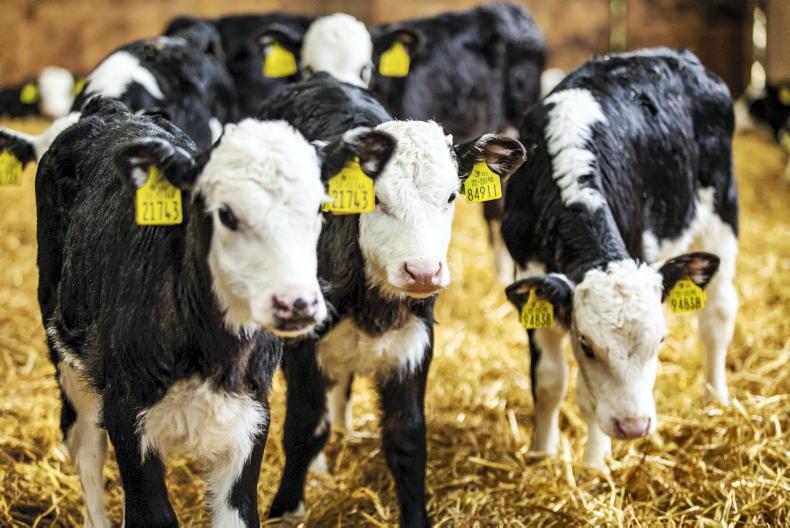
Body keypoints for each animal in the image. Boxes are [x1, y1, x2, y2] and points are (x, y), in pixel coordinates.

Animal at [31, 95, 368, 527]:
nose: (297, 303)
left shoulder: (252, 416)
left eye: (318, 210)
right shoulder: (126, 413)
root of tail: (111, 109)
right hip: (67, 352)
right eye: (226, 214)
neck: (211, 355)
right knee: (85, 443)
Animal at [258, 72, 526, 527]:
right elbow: (303, 426)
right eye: (376, 199)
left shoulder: (414, 347)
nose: (423, 272)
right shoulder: (304, 346)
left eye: (451, 197)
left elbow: (407, 438)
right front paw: (286, 509)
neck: (373, 306)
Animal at [501, 48, 737, 469]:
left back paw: (715, 399)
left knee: (717, 317)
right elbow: (548, 380)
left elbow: (589, 399)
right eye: (587, 346)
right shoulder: (529, 275)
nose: (633, 426)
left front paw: (595, 467)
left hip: (722, 214)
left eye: (661, 340)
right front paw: (541, 453)